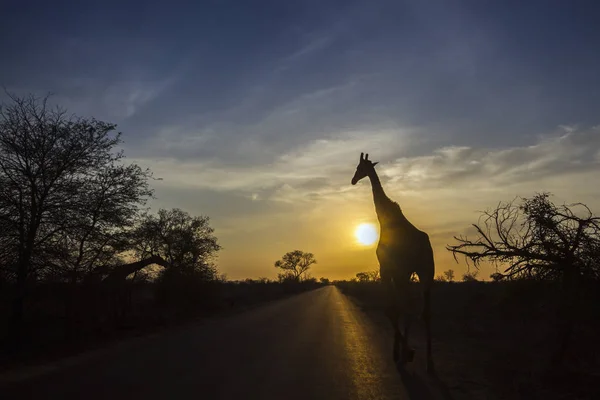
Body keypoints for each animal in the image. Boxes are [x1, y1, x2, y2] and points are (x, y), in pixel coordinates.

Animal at [350, 152, 434, 372]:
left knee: (408, 307)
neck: (385, 219)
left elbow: (391, 309)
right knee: (423, 311)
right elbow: (396, 308)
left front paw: (404, 352)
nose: (353, 180)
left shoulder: (386, 269)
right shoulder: (399, 272)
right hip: (425, 272)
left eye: (359, 167)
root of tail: (424, 246)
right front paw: (402, 351)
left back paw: (411, 355)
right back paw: (429, 363)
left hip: (412, 272)